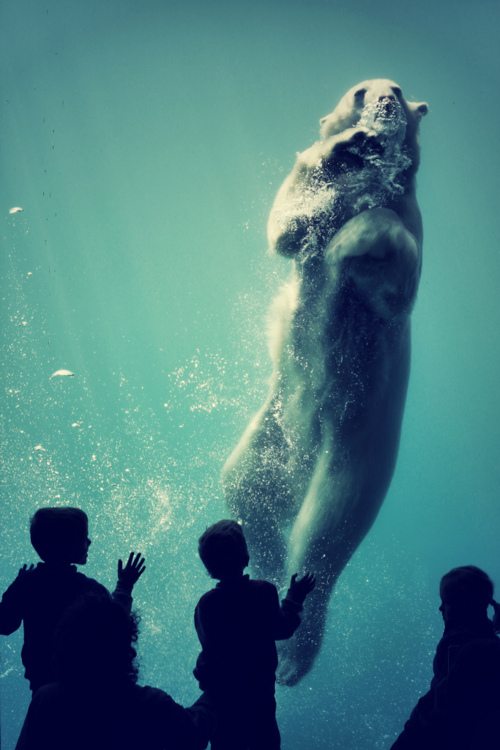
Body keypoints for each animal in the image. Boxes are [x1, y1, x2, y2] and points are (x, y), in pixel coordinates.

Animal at [222, 80, 428, 686]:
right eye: (360, 91)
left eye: (401, 91)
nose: (384, 101)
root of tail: (307, 436)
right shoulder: (301, 214)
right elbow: (284, 229)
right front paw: (343, 152)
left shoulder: (410, 221)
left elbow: (395, 275)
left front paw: (351, 243)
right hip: (270, 422)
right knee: (248, 485)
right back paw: (264, 574)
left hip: (361, 431)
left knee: (329, 521)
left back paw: (295, 648)